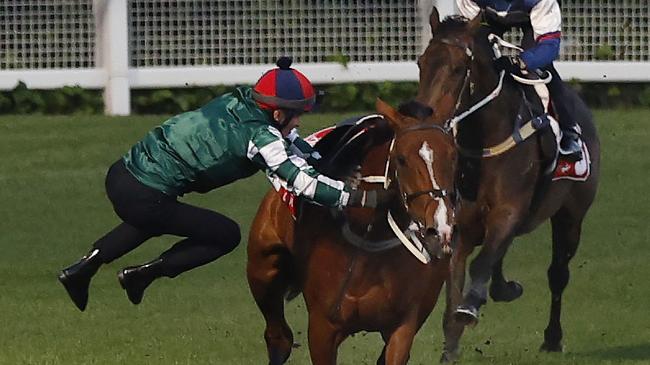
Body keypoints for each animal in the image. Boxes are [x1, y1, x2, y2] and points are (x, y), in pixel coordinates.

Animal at [247, 99, 456, 364]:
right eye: (401, 159)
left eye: (452, 155)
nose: (440, 228)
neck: (369, 243)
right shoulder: (322, 329)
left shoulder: (403, 327)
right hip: (262, 269)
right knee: (279, 338)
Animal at [418, 8, 600, 362]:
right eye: (421, 62)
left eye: (457, 68)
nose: (425, 119)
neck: (485, 144)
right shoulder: (460, 225)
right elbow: (455, 283)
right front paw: (450, 347)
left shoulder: (509, 210)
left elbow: (481, 264)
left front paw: (470, 306)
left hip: (571, 216)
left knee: (558, 273)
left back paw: (552, 337)